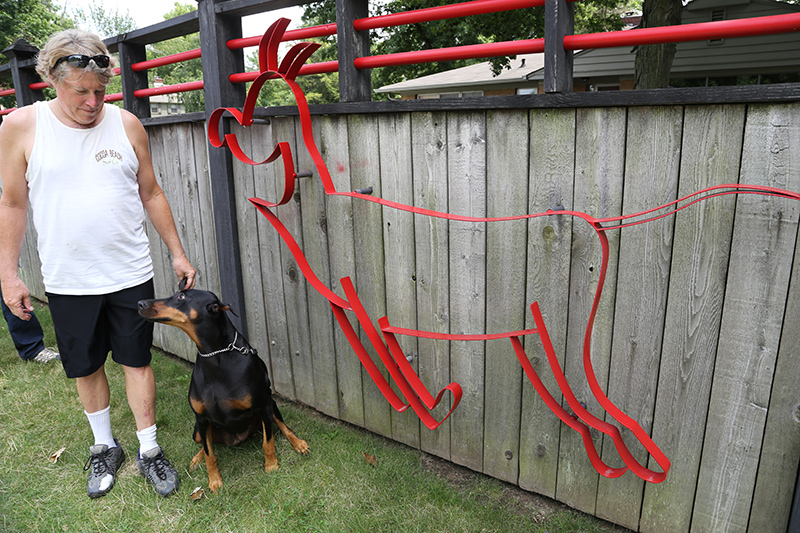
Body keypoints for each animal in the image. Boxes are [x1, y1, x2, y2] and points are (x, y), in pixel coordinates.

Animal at [138, 284, 310, 492]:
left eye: (181, 296)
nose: (140, 303)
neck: (214, 356)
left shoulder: (263, 406)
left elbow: (268, 442)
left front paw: (271, 466)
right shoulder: (201, 418)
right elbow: (210, 454)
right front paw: (214, 482)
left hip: (271, 406)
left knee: (283, 426)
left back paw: (299, 444)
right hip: (197, 431)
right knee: (205, 444)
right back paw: (197, 458)